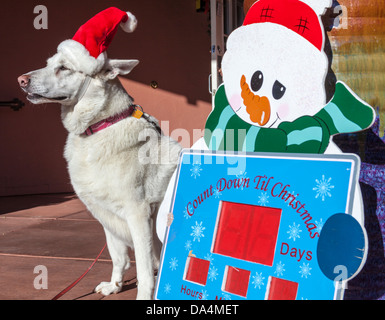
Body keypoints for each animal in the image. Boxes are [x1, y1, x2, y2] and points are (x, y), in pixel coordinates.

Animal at [16, 9, 180, 300]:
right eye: (48, 64)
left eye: (64, 68)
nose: (21, 80)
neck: (99, 126)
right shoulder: (107, 215)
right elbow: (118, 256)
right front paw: (115, 285)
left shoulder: (138, 214)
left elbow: (144, 268)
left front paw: (143, 294)